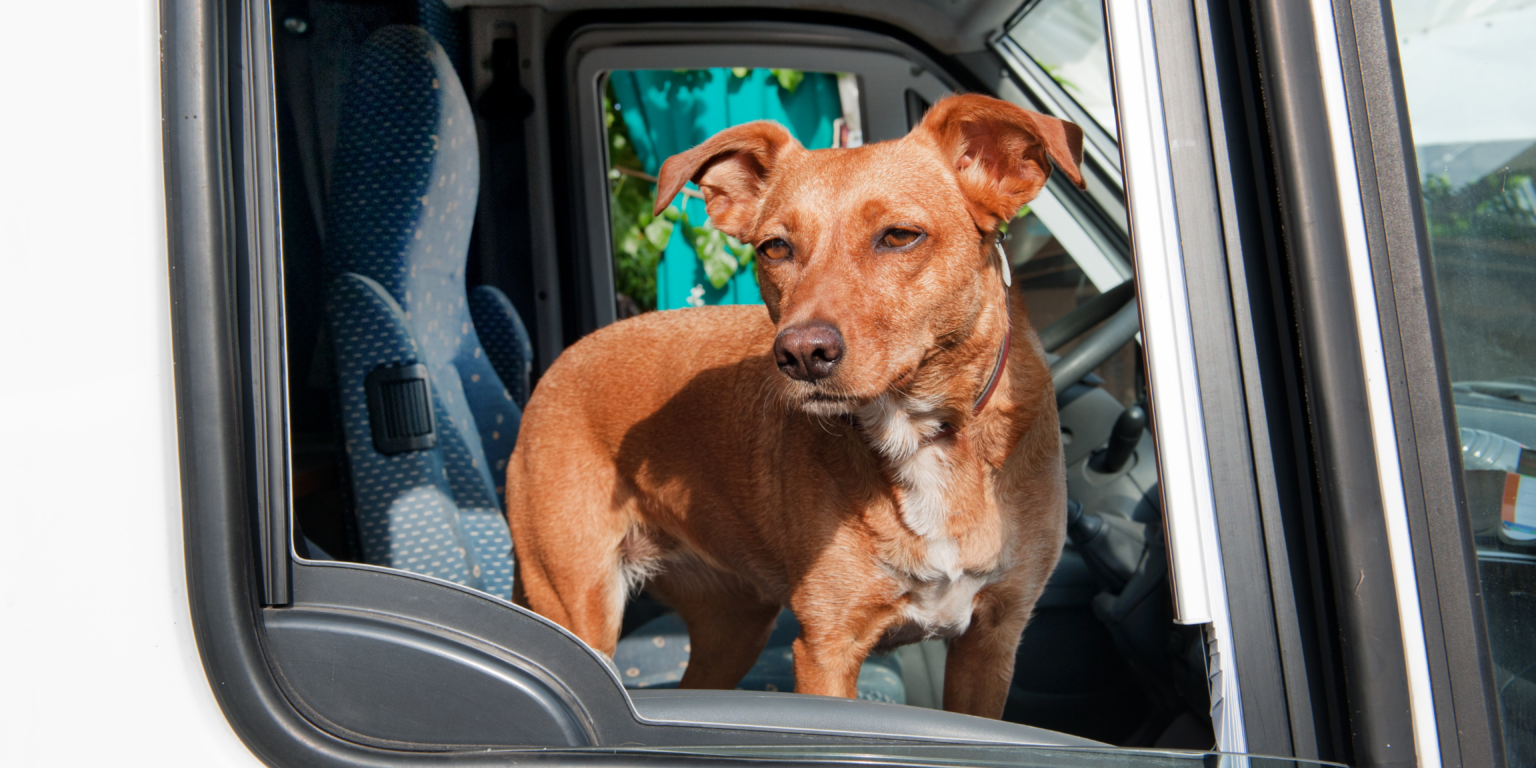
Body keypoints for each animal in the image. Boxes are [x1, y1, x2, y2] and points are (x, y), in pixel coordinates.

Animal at [509, 92, 1087, 715]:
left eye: (899, 236)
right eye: (775, 247)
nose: (803, 355)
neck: (922, 435)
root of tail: (560, 364)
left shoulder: (992, 642)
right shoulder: (826, 649)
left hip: (734, 625)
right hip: (578, 610)